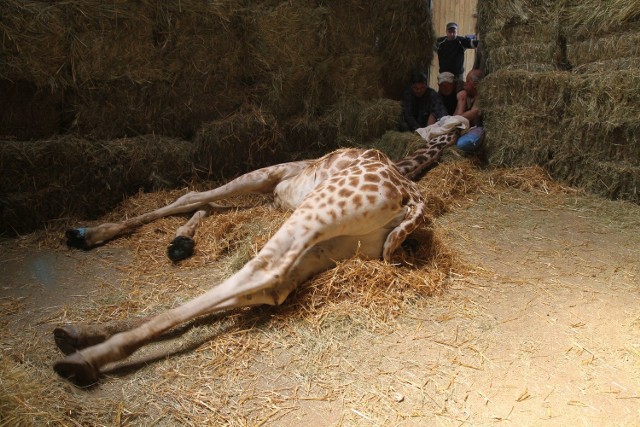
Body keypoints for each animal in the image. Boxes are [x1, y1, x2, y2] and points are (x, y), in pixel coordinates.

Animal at [52, 116, 468, 388]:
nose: (456, 132)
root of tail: (411, 201)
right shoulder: (273, 196)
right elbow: (203, 203)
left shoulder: (270, 178)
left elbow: (192, 197)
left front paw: (86, 232)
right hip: (328, 245)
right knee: (268, 284)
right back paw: (77, 333)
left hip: (313, 211)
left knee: (260, 269)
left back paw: (84, 359)